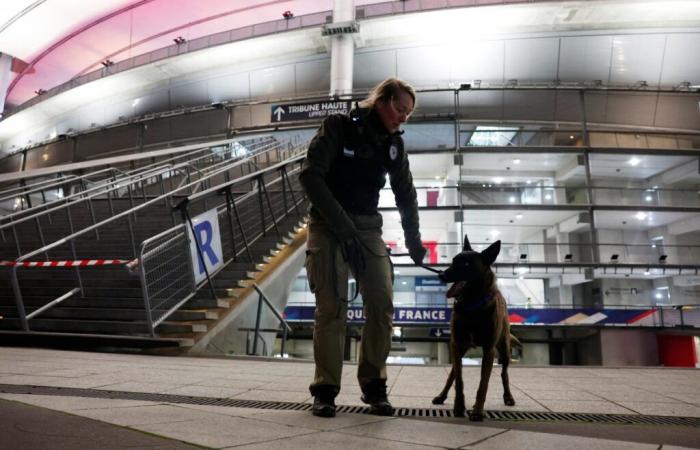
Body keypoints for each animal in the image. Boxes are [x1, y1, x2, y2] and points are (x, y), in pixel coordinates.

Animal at [432, 236, 520, 422]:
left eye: (467, 264)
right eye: (453, 261)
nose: (441, 275)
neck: (472, 305)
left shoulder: (489, 350)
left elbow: (483, 384)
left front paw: (478, 411)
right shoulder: (456, 344)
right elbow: (459, 381)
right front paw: (459, 407)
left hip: (504, 350)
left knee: (504, 374)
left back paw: (508, 397)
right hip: (460, 350)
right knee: (452, 374)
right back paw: (442, 396)